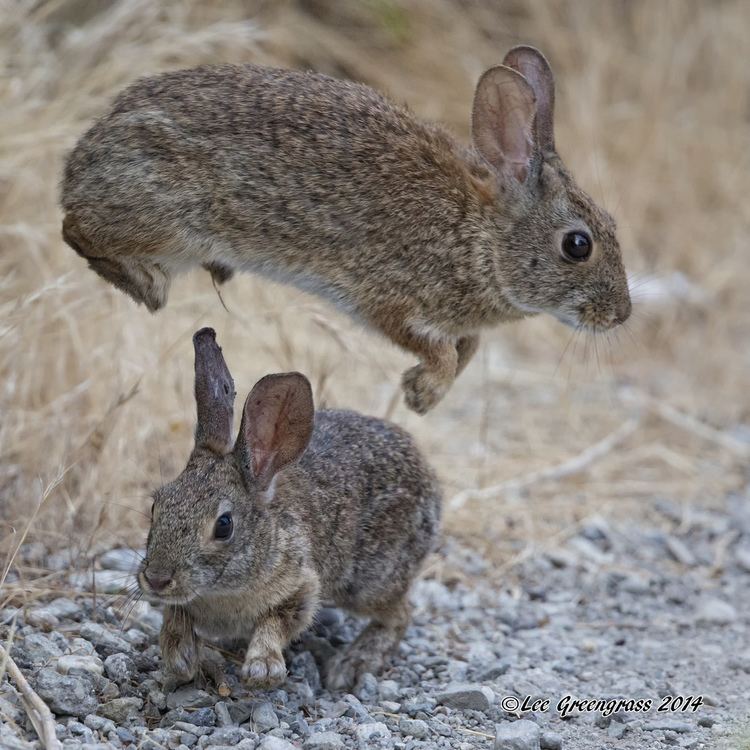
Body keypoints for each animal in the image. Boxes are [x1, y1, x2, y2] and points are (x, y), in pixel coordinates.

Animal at [61, 45, 632, 418]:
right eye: (577, 245)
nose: (622, 315)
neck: (482, 237)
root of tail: (84, 159)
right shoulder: (389, 300)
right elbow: (442, 350)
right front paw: (423, 391)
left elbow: (466, 349)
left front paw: (419, 394)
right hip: (164, 218)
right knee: (77, 231)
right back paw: (150, 287)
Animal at [137, 328, 440, 692]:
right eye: (156, 506)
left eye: (223, 525)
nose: (156, 579)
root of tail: (430, 480)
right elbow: (174, 616)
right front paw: (180, 660)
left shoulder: (301, 587)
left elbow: (276, 623)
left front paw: (262, 669)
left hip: (371, 580)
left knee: (400, 614)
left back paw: (351, 665)